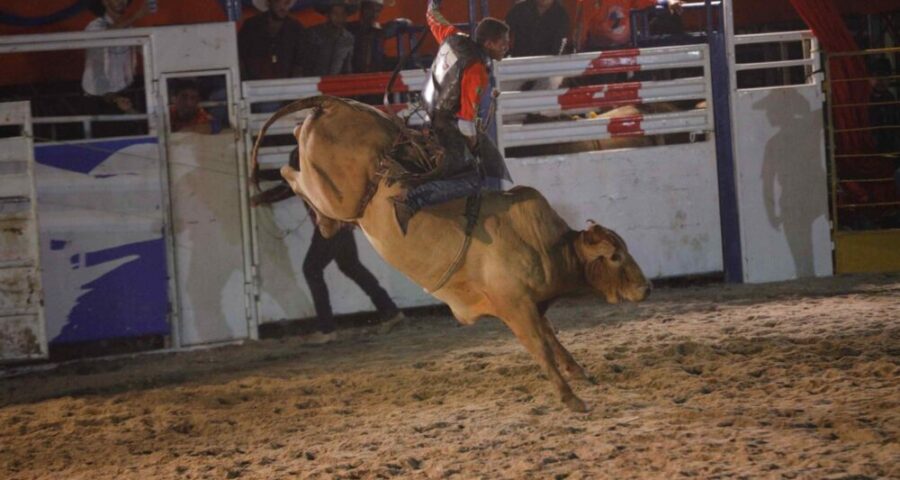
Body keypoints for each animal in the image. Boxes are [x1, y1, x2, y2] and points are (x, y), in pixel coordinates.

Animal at [250, 94, 652, 412]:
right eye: (615, 256)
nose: (646, 288)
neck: (545, 245)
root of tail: (335, 103)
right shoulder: (514, 306)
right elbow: (540, 347)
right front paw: (572, 399)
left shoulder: (533, 305)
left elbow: (552, 339)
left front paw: (579, 373)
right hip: (336, 195)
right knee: (293, 175)